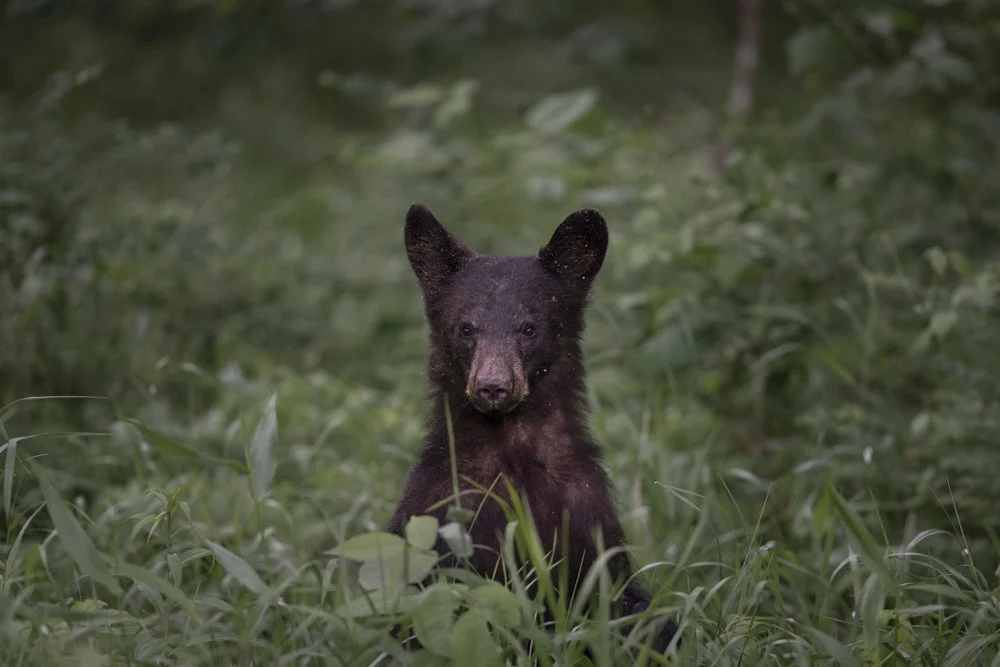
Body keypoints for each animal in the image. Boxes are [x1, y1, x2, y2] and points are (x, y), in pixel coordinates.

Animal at [386, 203, 677, 654]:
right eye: (466, 328)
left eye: (529, 327)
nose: (493, 386)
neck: (510, 449)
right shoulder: (438, 516)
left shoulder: (585, 517)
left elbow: (616, 603)